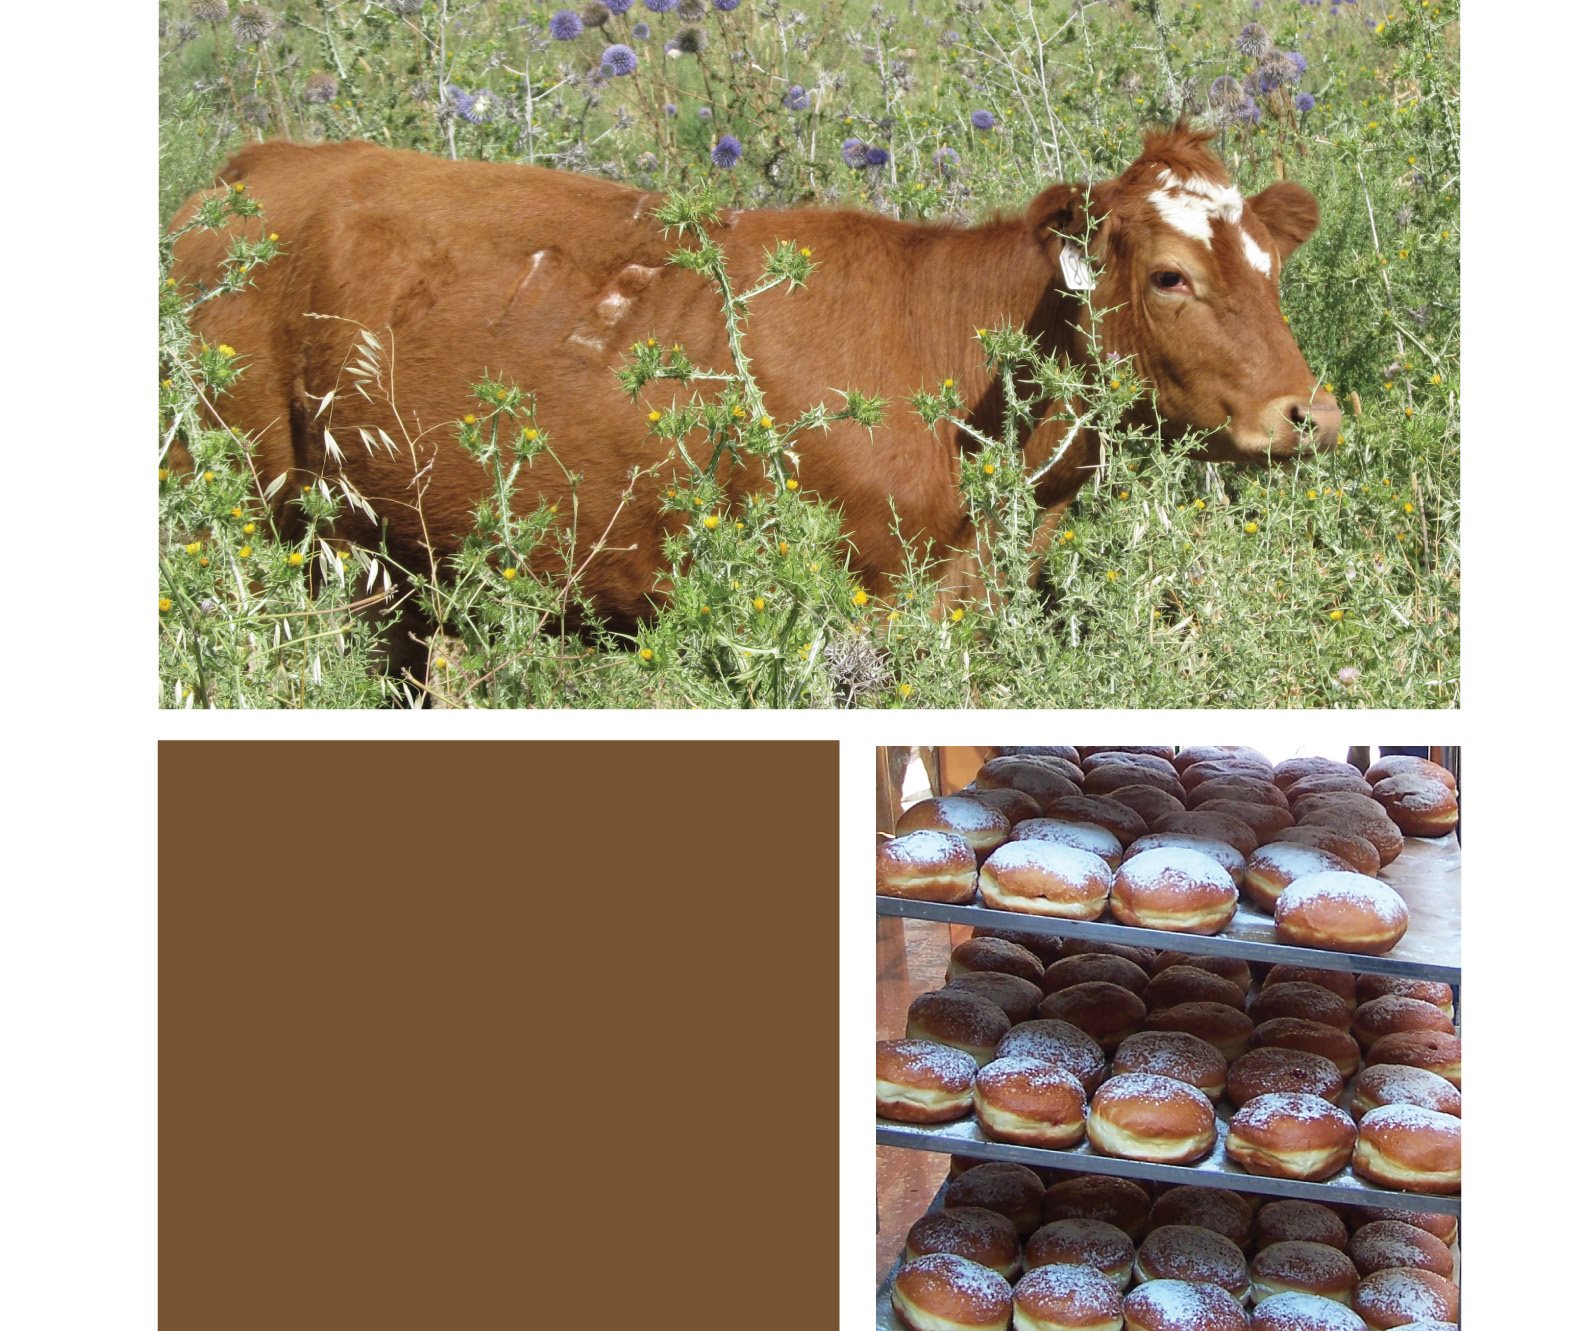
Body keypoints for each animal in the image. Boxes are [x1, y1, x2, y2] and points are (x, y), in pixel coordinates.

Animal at [171, 131, 1332, 634]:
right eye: (1173, 276)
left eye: (1274, 267)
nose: (1306, 413)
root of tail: (259, 163)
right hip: (254, 507)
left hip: (392, 559)